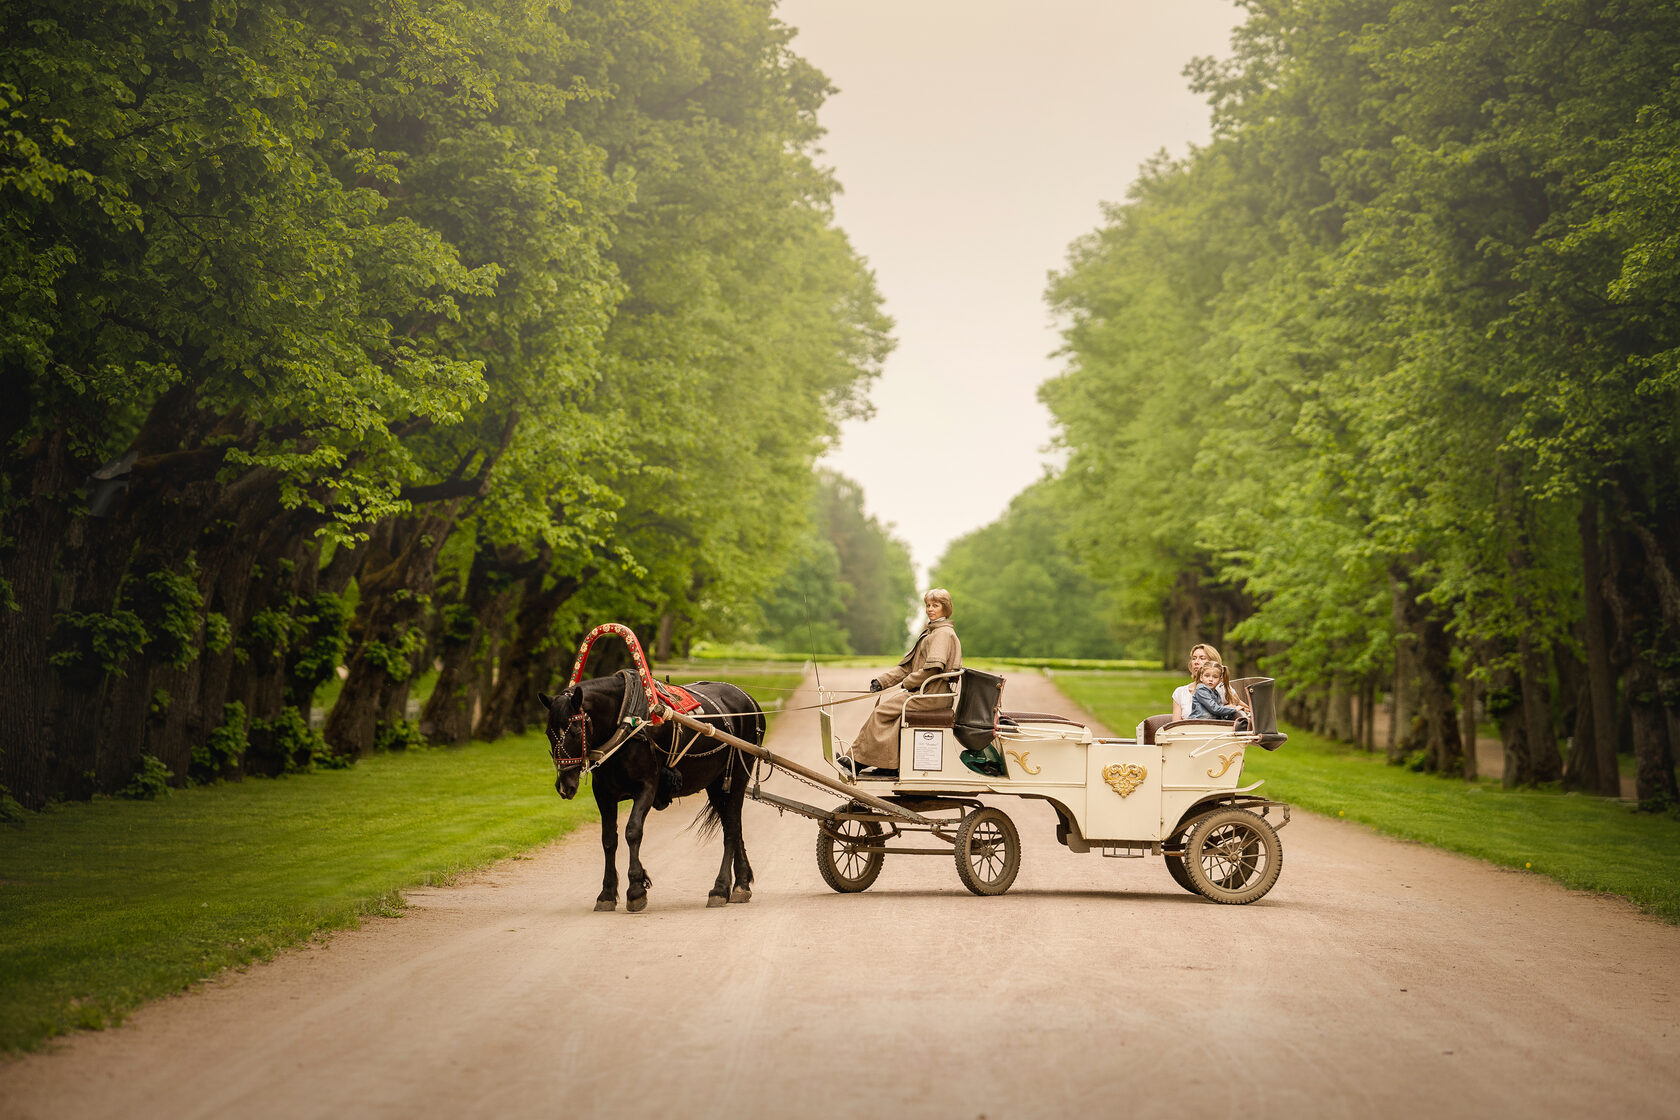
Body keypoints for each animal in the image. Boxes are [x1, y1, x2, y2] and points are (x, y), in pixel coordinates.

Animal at [540, 671, 766, 913]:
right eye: (548, 733)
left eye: (574, 731)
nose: (564, 784)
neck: (626, 721)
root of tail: (749, 700)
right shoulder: (604, 794)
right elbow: (609, 839)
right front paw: (608, 893)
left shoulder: (646, 787)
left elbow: (632, 831)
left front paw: (636, 889)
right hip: (716, 785)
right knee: (734, 826)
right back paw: (741, 884)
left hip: (737, 776)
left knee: (731, 829)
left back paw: (721, 888)